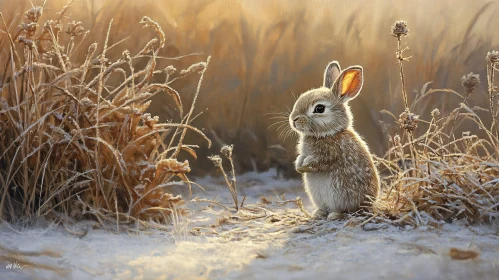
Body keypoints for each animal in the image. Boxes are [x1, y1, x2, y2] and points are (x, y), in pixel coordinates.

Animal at [290, 61, 378, 221]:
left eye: (319, 108)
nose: (293, 119)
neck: (327, 134)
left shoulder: (329, 154)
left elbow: (317, 161)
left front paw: (304, 166)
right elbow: (301, 157)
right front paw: (299, 167)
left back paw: (334, 215)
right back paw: (318, 214)